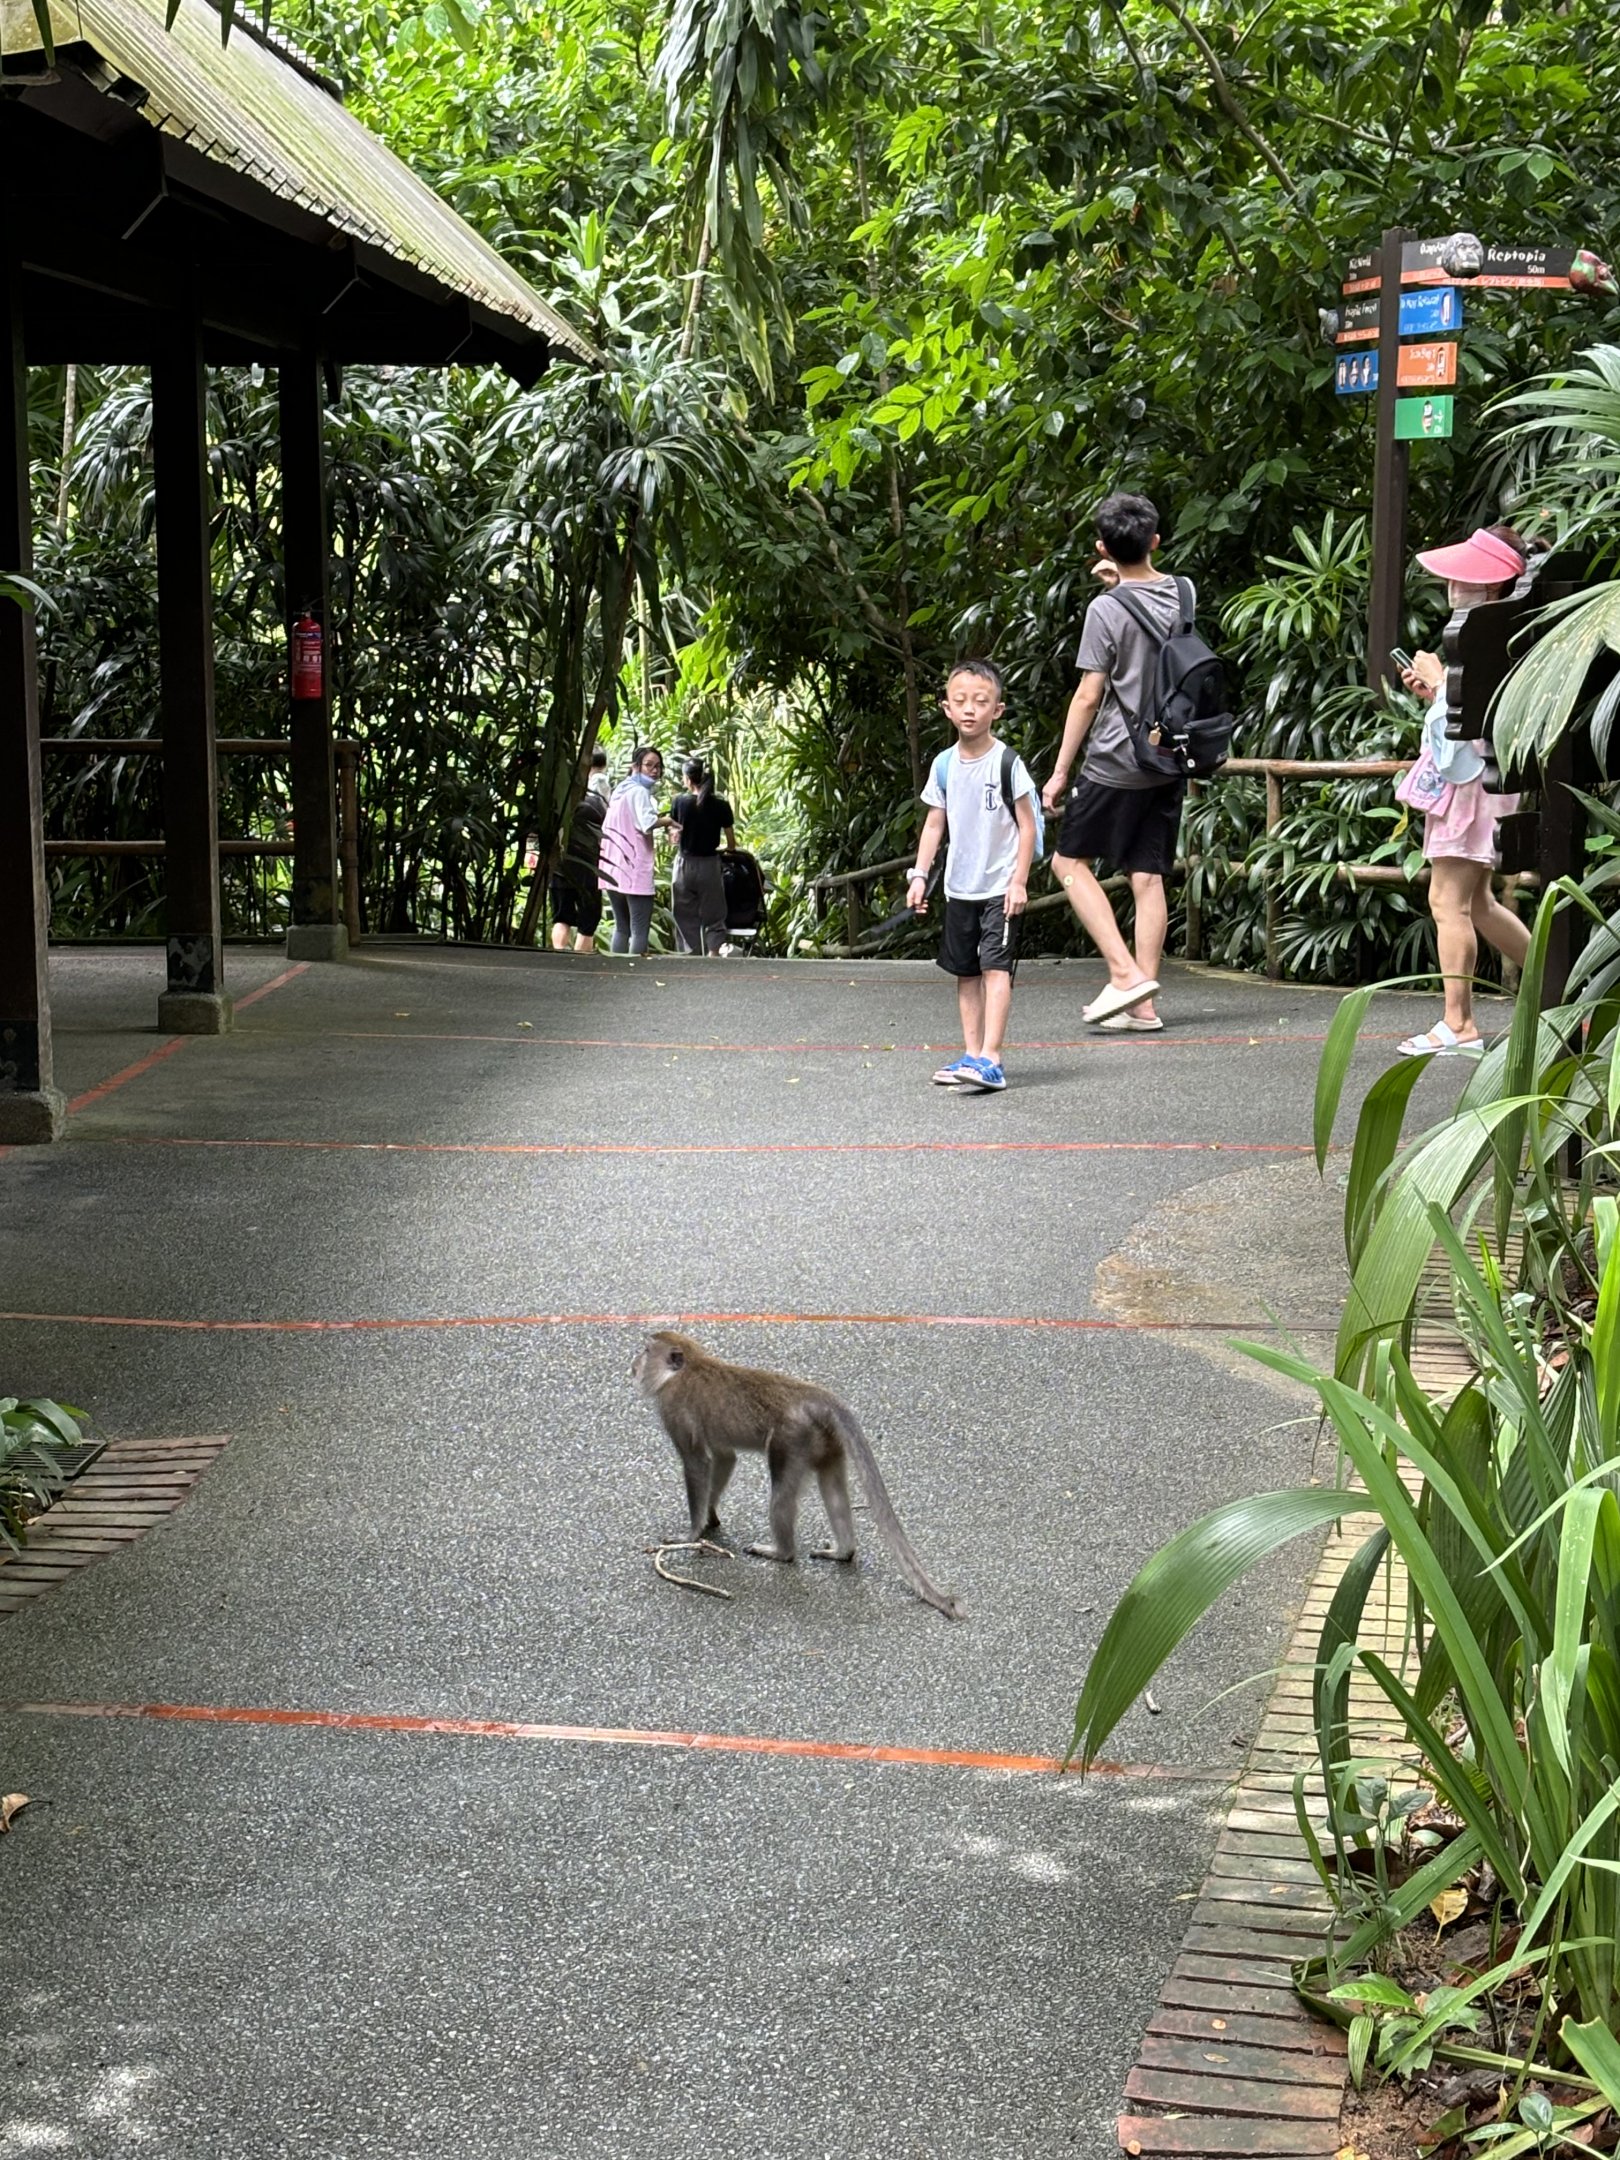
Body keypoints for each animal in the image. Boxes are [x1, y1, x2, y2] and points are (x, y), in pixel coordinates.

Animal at [630, 1330, 966, 1621]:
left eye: (646, 1351)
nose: (633, 1365)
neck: (685, 1368)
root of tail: (813, 1394)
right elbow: (725, 1457)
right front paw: (711, 1517)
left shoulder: (674, 1410)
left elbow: (697, 1462)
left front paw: (690, 1534)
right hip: (827, 1441)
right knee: (833, 1490)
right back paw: (843, 1552)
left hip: (791, 1439)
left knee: (781, 1494)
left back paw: (781, 1552)